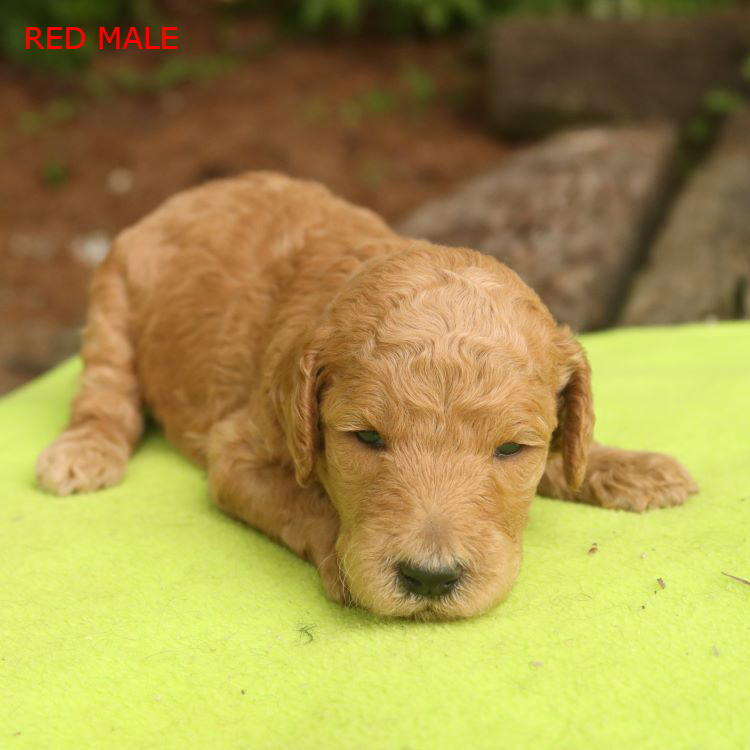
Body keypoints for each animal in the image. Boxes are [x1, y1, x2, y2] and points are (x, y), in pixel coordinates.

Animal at [36, 172, 698, 620]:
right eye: (366, 438)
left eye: (512, 450)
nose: (430, 581)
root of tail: (186, 196)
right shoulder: (240, 451)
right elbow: (306, 503)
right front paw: (346, 566)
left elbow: (570, 451)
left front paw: (633, 468)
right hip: (114, 295)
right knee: (105, 389)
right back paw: (82, 454)